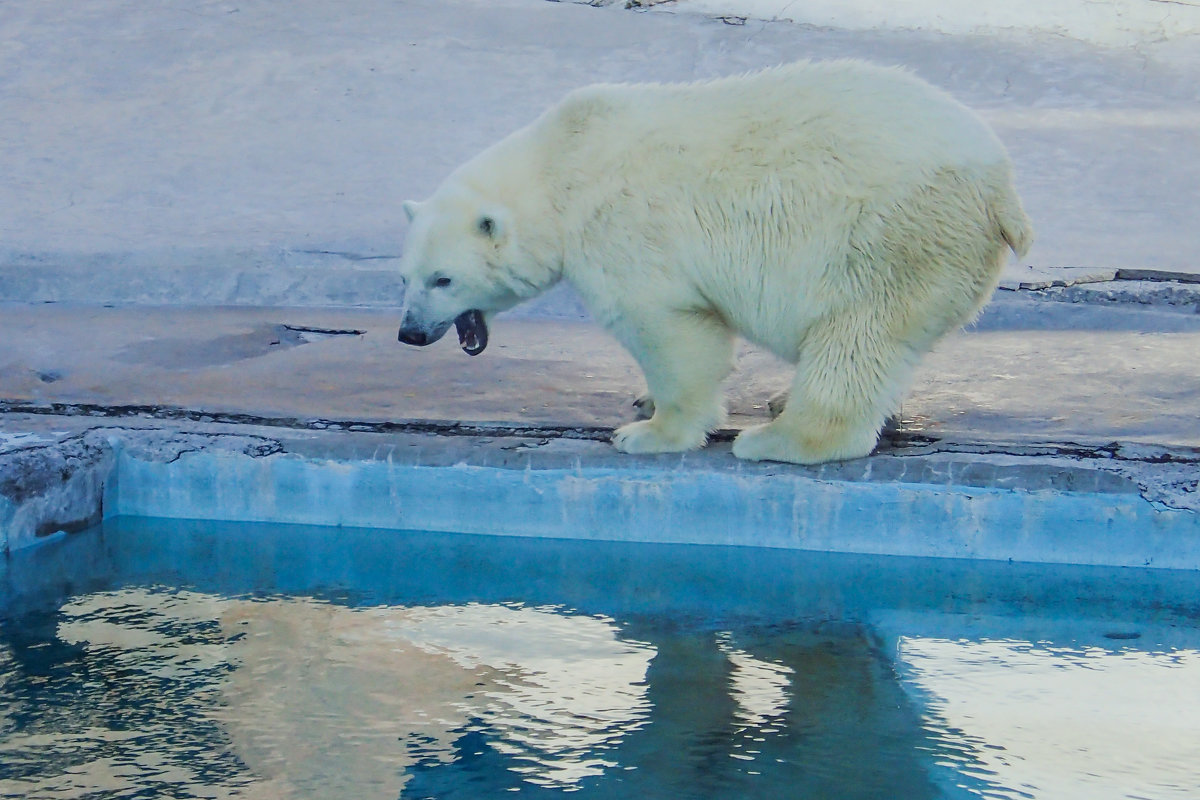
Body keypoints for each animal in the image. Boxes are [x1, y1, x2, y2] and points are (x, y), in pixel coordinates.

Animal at [396, 59, 1032, 465]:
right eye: (405, 277)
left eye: (442, 278)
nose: (408, 333)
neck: (559, 168)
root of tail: (1000, 187)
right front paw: (644, 399)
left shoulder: (622, 231)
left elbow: (670, 329)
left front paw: (648, 432)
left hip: (890, 237)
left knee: (856, 335)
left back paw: (777, 438)